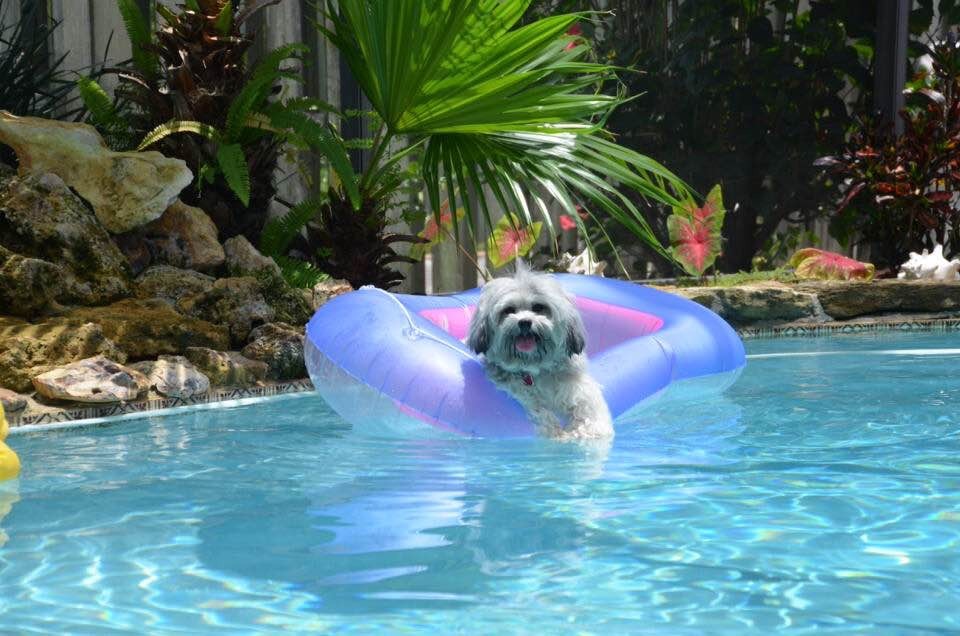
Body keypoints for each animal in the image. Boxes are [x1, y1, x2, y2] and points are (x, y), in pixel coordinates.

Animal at [466, 260, 616, 440]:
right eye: (509, 310)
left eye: (538, 307)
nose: (524, 322)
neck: (535, 370)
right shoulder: (519, 391)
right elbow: (538, 409)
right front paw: (555, 432)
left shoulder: (580, 388)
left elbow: (588, 409)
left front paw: (587, 430)